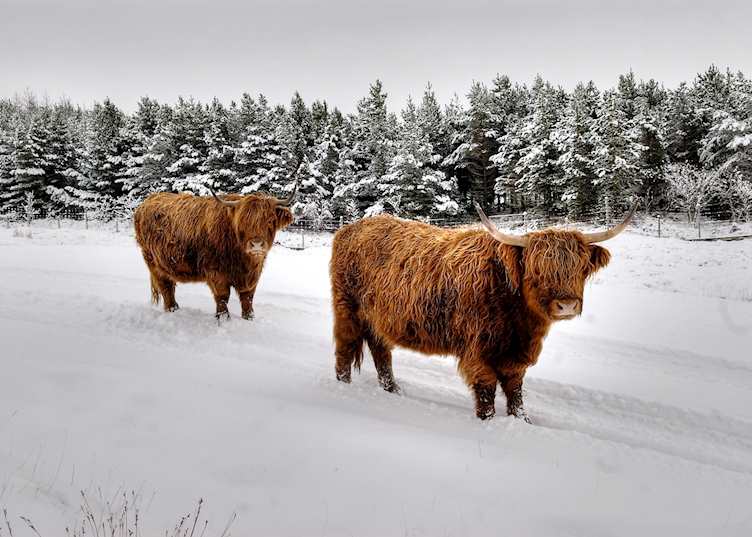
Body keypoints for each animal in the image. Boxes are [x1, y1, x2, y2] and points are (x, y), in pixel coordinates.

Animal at [134, 178, 299, 321]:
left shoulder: (252, 276)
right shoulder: (216, 272)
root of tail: (147, 201)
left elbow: (247, 297)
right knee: (165, 287)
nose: (257, 244)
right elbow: (222, 297)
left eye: (270, 221)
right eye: (243, 222)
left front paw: (249, 317)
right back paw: (172, 310)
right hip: (153, 262)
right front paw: (224, 319)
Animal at [330, 203, 636, 422]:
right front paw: (487, 422)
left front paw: (521, 420)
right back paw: (344, 386)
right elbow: (487, 392)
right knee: (345, 348)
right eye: (537, 270)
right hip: (347, 310)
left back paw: (393, 390)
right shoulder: (478, 352)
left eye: (580, 267)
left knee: (381, 352)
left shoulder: (514, 357)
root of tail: (348, 230)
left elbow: (515, 391)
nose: (567, 305)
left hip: (377, 319)